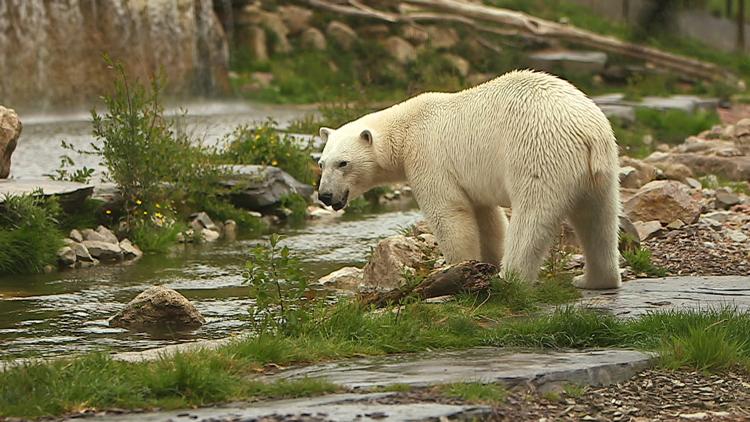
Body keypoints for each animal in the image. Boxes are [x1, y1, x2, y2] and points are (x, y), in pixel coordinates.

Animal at [318, 70, 624, 290]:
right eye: (321, 163)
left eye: (343, 163)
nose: (325, 196)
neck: (405, 130)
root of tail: (587, 131)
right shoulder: (469, 178)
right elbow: (487, 219)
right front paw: (484, 263)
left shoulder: (429, 159)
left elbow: (449, 214)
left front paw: (455, 270)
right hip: (603, 166)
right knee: (599, 219)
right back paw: (593, 280)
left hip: (537, 153)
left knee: (532, 218)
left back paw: (509, 280)